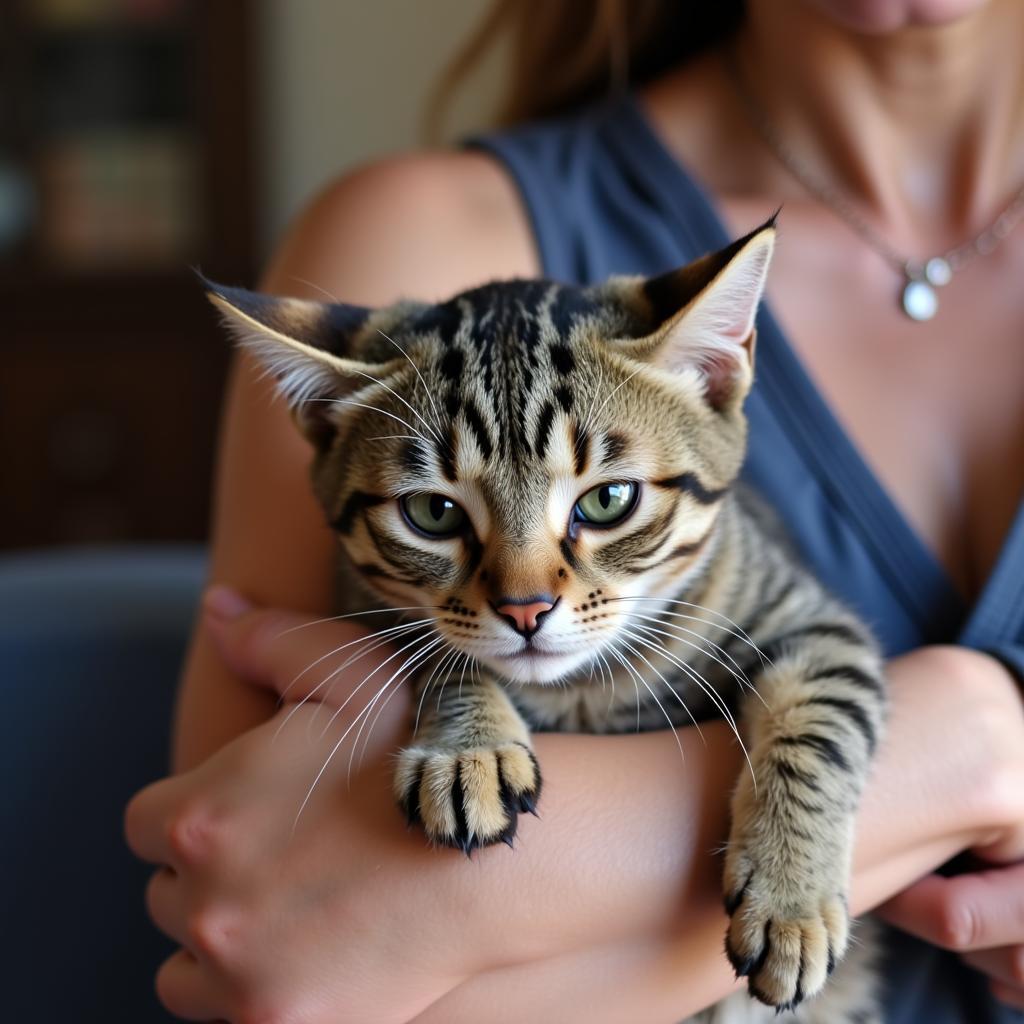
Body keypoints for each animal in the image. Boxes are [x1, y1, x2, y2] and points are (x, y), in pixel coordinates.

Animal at [203, 220, 884, 1019]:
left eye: (608, 500)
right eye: (432, 512)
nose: (526, 608)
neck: (583, 692)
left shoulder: (813, 621)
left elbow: (820, 723)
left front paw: (790, 895)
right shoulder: (354, 599)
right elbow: (437, 648)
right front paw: (467, 748)